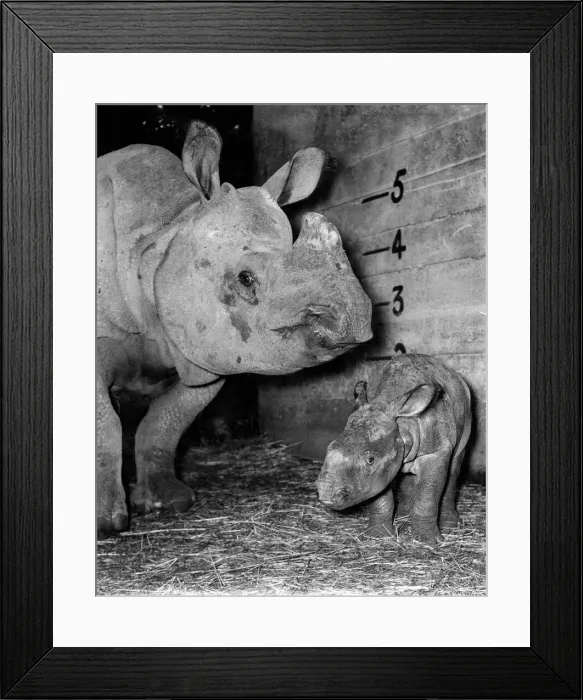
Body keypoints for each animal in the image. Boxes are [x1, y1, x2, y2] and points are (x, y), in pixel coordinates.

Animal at [97, 120, 372, 539]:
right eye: (245, 279)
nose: (354, 321)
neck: (161, 239)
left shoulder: (202, 353)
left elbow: (166, 423)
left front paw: (168, 504)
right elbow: (106, 426)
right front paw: (106, 525)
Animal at [315, 354, 472, 544]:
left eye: (370, 460)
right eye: (330, 447)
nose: (326, 493)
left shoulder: (435, 452)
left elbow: (427, 495)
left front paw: (427, 541)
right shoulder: (381, 466)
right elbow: (379, 492)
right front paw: (378, 536)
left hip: (466, 407)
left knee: (454, 468)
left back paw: (451, 525)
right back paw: (402, 515)